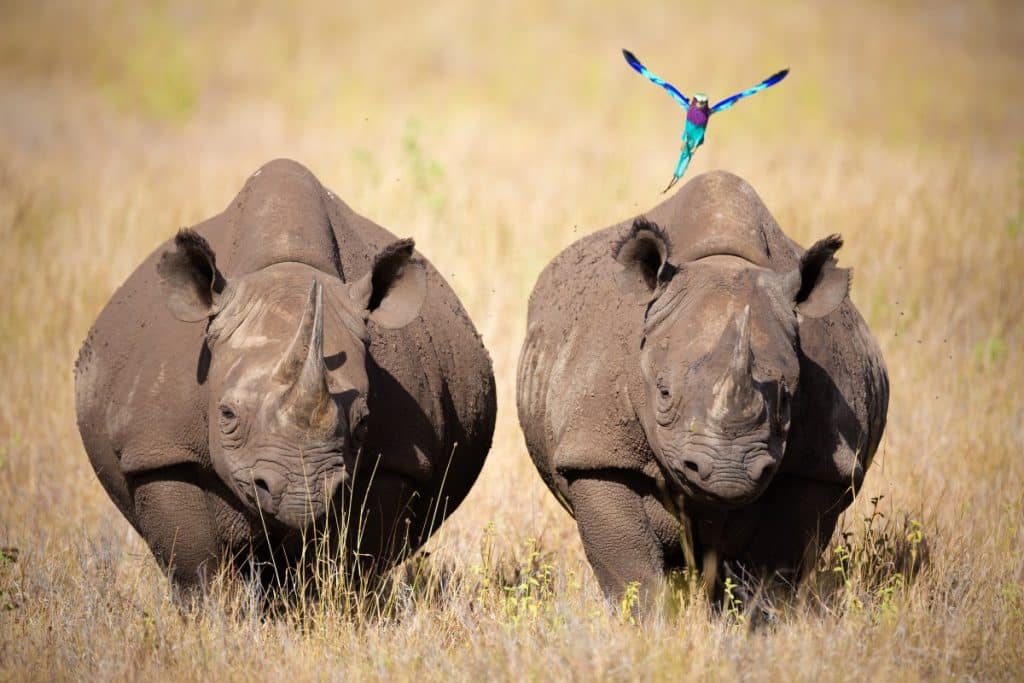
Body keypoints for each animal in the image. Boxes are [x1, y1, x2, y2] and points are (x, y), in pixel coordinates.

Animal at [75, 159, 496, 597]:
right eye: (226, 415)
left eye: (364, 422)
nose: (301, 493)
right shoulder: (159, 449)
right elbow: (194, 566)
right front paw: (215, 611)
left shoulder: (397, 459)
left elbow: (353, 561)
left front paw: (327, 604)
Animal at [517, 171, 888, 607]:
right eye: (662, 393)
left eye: (786, 401)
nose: (730, 472)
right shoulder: (596, 452)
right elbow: (630, 570)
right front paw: (646, 620)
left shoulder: (818, 466)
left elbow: (772, 571)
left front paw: (753, 619)